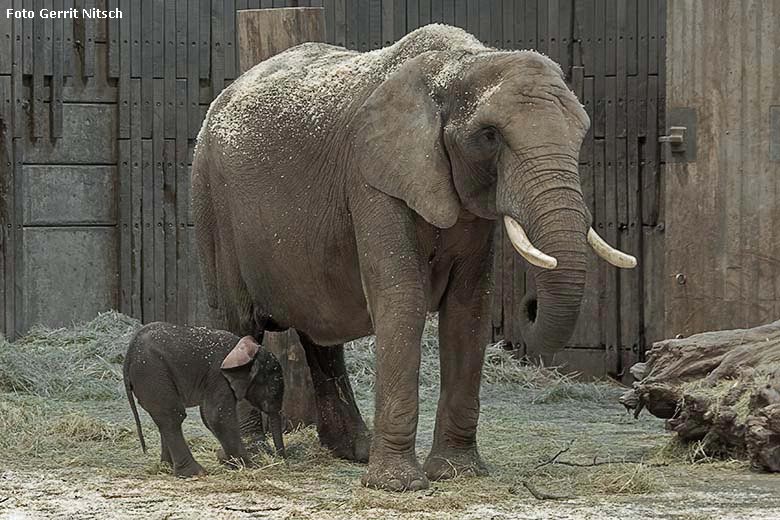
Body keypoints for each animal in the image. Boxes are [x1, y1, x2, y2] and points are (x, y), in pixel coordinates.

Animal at [125, 320, 286, 476]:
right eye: (272, 389)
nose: (281, 459)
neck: (244, 351)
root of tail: (128, 355)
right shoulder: (218, 375)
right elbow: (217, 416)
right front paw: (250, 465)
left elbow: (207, 415)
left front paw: (226, 459)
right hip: (151, 372)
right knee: (172, 416)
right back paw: (195, 473)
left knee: (164, 417)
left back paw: (167, 468)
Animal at [192, 22, 636, 490]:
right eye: (490, 136)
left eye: (581, 134)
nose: (529, 305)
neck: (460, 64)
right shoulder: (371, 176)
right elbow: (402, 297)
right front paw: (398, 485)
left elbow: (469, 307)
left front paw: (458, 473)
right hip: (210, 202)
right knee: (241, 325)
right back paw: (249, 457)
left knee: (320, 335)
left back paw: (352, 451)